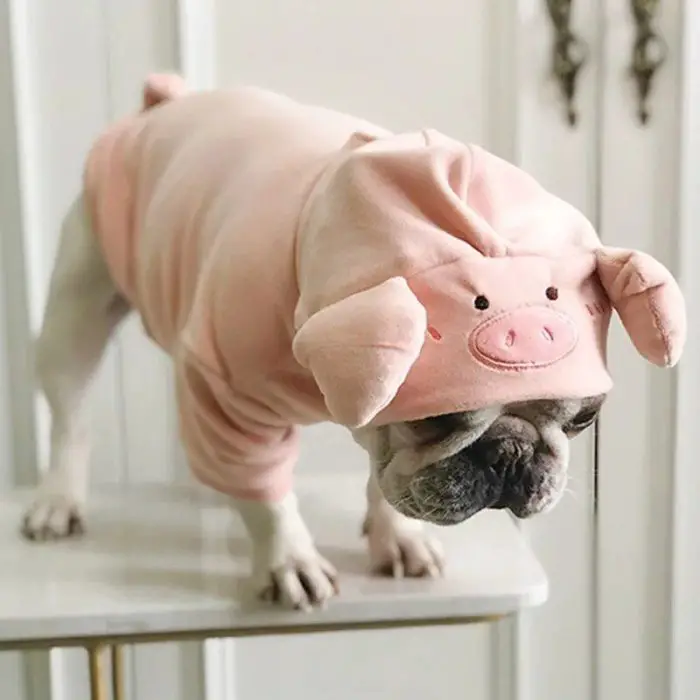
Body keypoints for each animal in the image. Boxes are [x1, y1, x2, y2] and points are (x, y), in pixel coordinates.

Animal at [20, 76, 684, 612]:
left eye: (584, 419)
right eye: (436, 418)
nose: (511, 454)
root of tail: (164, 103)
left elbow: (386, 479)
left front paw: (399, 537)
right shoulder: (226, 398)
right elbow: (268, 498)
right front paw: (288, 560)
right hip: (76, 307)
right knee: (71, 416)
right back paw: (59, 500)